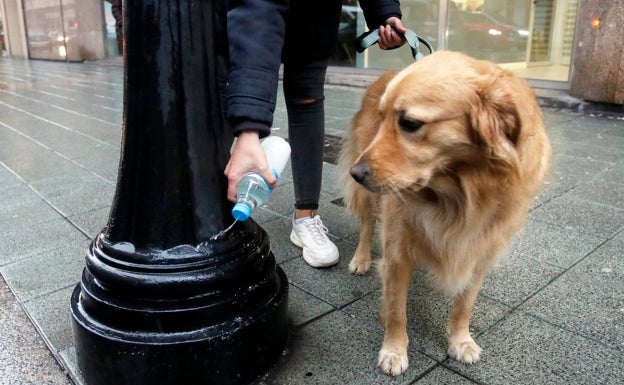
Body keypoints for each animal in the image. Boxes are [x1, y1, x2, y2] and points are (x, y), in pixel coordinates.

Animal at [338, 50, 548, 376]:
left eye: (410, 123)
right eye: (383, 119)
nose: (356, 172)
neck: (460, 195)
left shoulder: (480, 250)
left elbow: (464, 305)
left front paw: (461, 341)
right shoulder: (396, 250)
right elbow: (397, 310)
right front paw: (394, 350)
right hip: (370, 195)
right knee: (367, 224)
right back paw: (361, 259)